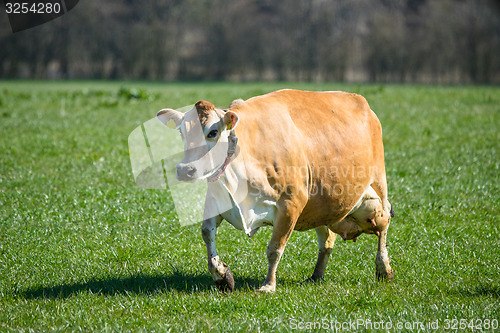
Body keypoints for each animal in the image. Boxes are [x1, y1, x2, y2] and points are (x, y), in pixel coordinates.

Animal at [156, 89, 394, 292]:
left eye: (212, 132)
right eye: (182, 133)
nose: (185, 169)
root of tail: (361, 101)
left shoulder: (291, 204)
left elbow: (274, 248)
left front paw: (269, 285)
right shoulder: (216, 201)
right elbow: (207, 233)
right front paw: (222, 275)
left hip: (378, 186)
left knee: (384, 223)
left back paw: (384, 268)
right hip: (324, 206)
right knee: (327, 240)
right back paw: (316, 275)